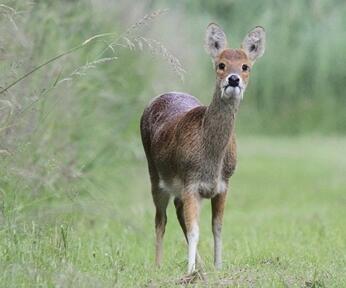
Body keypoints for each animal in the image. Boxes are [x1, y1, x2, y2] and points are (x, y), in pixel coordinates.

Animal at [139, 23, 266, 274]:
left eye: (245, 66)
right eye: (221, 64)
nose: (234, 79)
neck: (211, 160)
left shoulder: (223, 184)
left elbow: (217, 227)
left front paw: (217, 266)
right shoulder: (190, 181)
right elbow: (194, 230)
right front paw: (190, 271)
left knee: (177, 211)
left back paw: (201, 264)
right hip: (155, 174)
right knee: (160, 219)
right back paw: (158, 264)